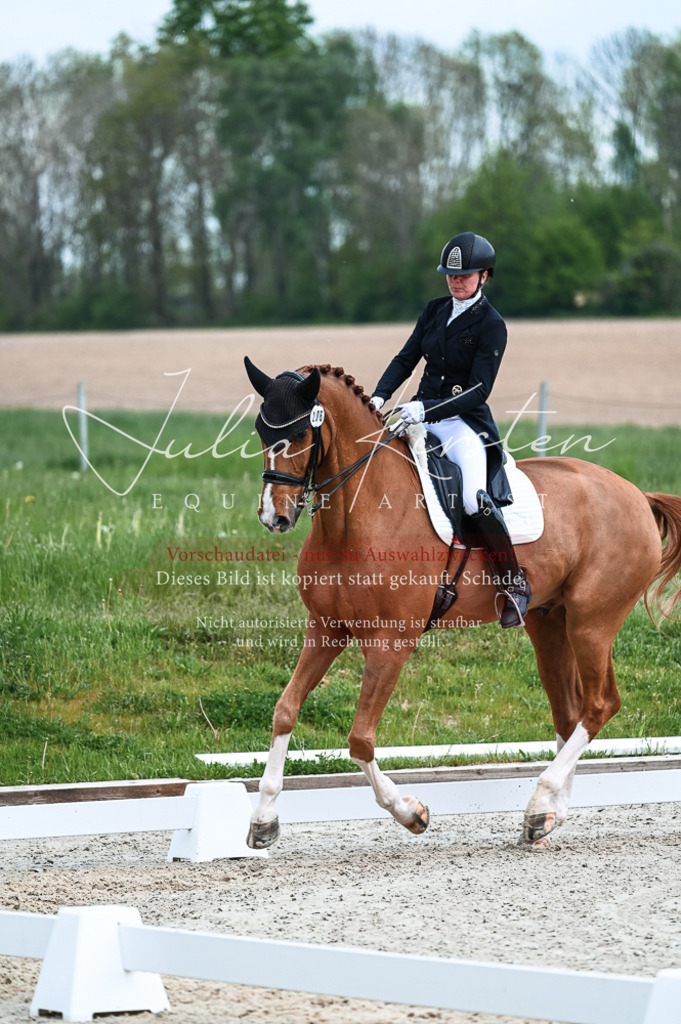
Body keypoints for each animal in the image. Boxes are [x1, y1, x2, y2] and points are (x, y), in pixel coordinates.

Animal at [243, 358, 681, 850]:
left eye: (301, 433)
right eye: (261, 430)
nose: (274, 517)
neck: (356, 517)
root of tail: (638, 495)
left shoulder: (391, 643)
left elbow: (360, 739)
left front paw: (411, 812)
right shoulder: (326, 629)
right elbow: (285, 711)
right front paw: (263, 819)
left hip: (593, 623)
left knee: (600, 704)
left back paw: (540, 800)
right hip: (549, 623)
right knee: (571, 714)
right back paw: (547, 816)